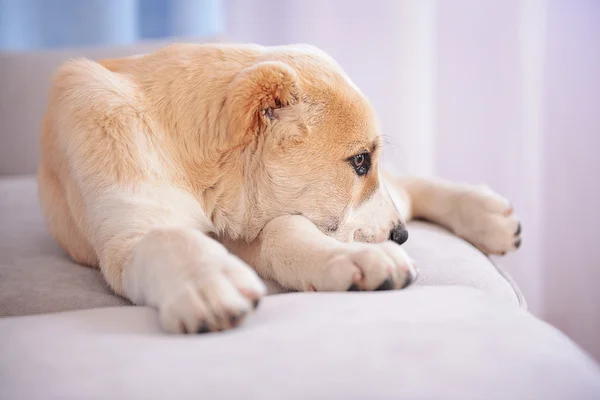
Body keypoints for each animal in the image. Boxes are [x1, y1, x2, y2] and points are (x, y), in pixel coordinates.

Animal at [37, 43, 520, 334]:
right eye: (359, 161)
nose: (401, 236)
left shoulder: (252, 226)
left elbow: (285, 234)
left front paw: (351, 260)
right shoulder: (127, 237)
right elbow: (170, 238)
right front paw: (206, 282)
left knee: (407, 188)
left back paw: (488, 216)